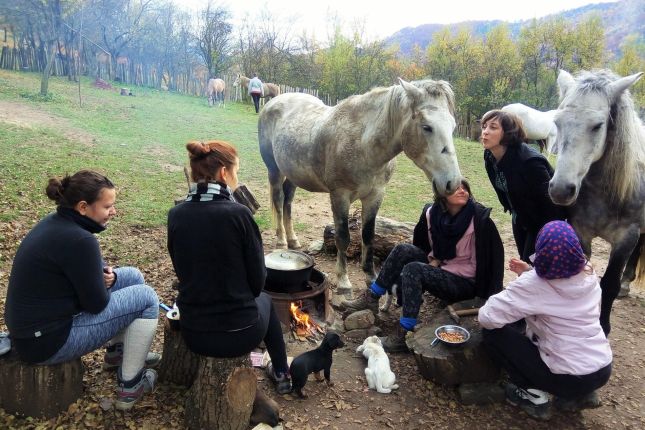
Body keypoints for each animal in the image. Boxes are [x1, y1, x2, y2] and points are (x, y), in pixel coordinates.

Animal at [256, 77, 462, 294]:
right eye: (427, 127)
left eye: (452, 126)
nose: (452, 182)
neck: (363, 144)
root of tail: (273, 102)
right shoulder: (340, 196)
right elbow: (343, 237)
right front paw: (343, 280)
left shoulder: (375, 195)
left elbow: (368, 235)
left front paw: (370, 276)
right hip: (274, 170)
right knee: (278, 200)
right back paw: (281, 240)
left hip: (293, 174)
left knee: (287, 201)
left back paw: (293, 240)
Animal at [548, 69, 644, 334]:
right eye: (557, 122)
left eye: (598, 126)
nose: (561, 189)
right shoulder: (581, 231)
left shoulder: (626, 237)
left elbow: (608, 283)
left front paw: (603, 325)